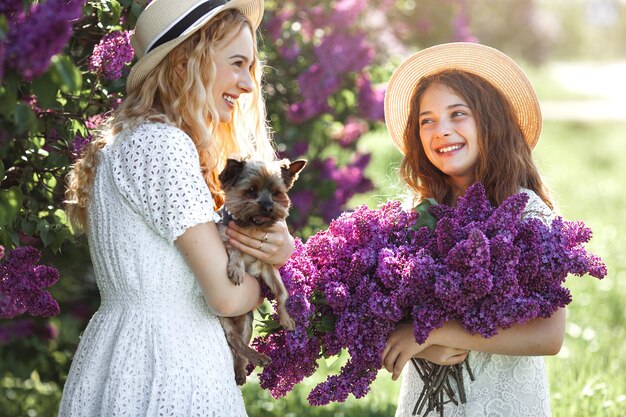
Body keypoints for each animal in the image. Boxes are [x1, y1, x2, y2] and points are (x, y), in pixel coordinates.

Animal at [218, 157, 306, 384]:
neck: (252, 226)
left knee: (239, 342)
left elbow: (282, 293)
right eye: (250, 191)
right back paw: (258, 358)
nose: (267, 207)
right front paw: (237, 269)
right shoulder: (223, 235)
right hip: (222, 317)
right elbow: (234, 247)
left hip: (246, 320)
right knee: (232, 338)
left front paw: (286, 319)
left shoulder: (266, 267)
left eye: (276, 193)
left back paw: (242, 369)